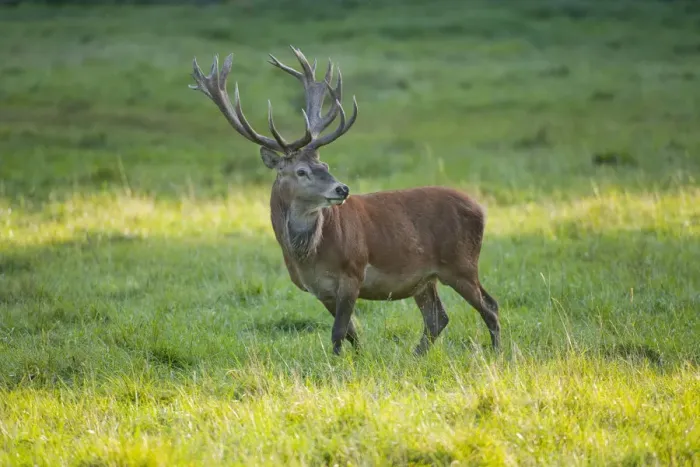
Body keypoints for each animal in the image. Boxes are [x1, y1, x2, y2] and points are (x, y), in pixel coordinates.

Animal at [189, 46, 500, 356]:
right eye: (301, 171)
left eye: (324, 165)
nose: (342, 189)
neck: (307, 256)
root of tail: (481, 209)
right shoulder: (319, 290)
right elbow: (351, 333)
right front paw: (359, 359)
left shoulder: (353, 272)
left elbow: (339, 331)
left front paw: (341, 364)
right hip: (424, 278)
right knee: (438, 317)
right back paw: (415, 357)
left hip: (460, 263)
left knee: (490, 306)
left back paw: (497, 352)